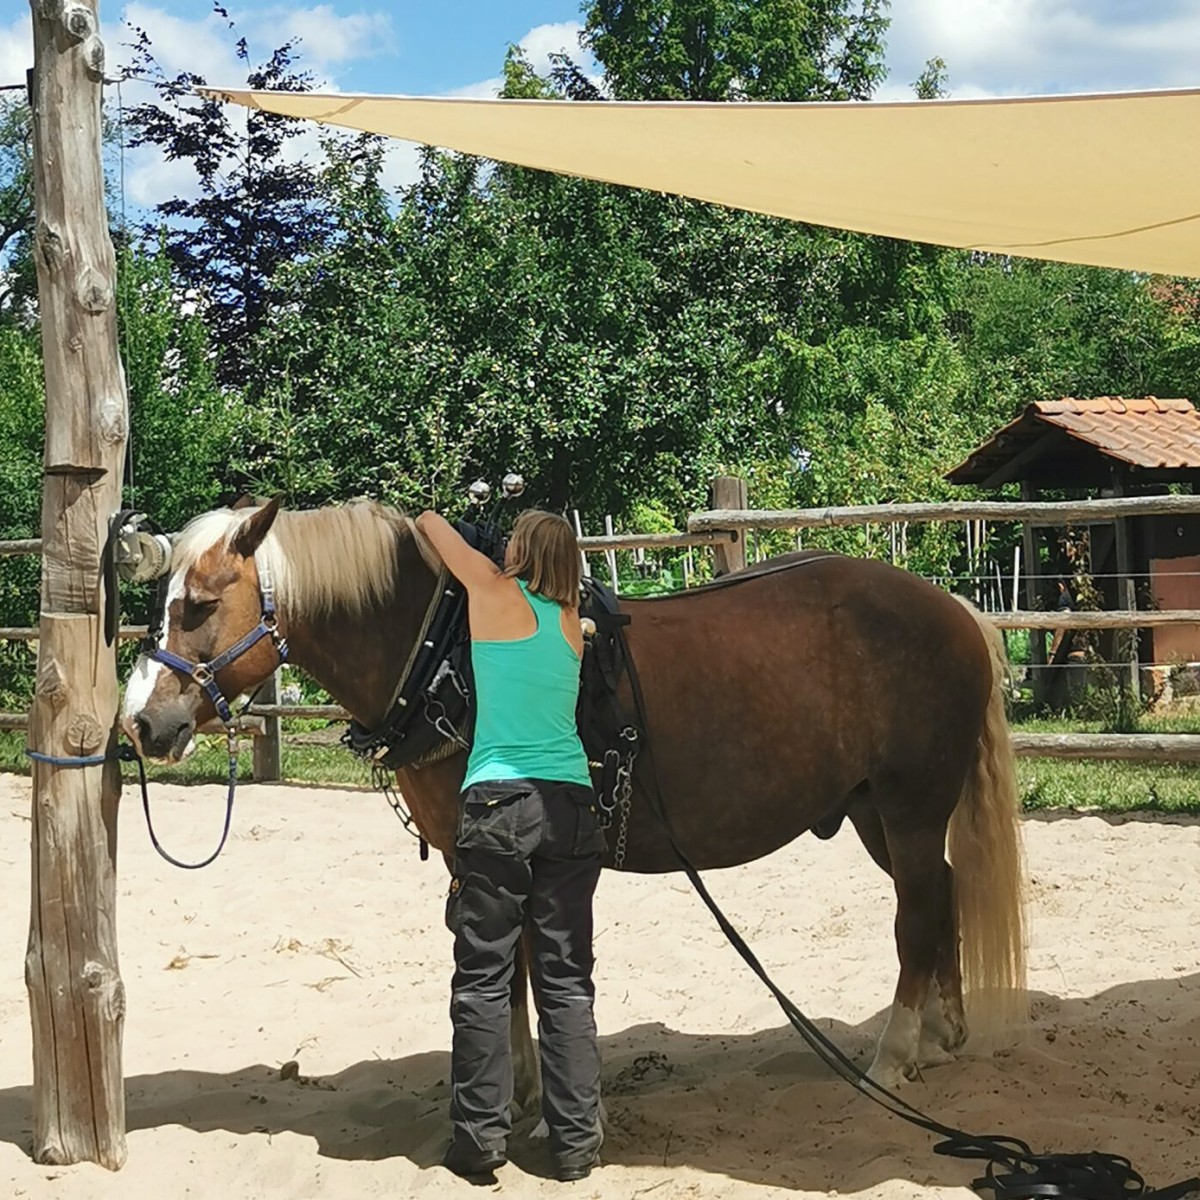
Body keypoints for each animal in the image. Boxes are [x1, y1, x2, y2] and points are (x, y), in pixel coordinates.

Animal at [119, 496, 1022, 1104]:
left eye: (199, 605)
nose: (145, 723)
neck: (449, 651)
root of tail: (953, 606)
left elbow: (512, 958)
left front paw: (518, 1087)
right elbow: (510, 965)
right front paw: (516, 1080)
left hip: (909, 804)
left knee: (916, 914)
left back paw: (894, 1055)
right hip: (874, 809)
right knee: (939, 895)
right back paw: (942, 1035)